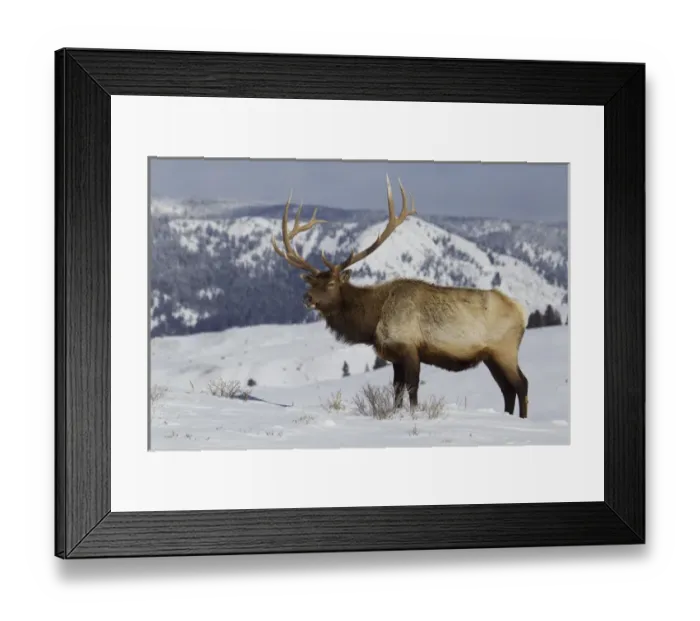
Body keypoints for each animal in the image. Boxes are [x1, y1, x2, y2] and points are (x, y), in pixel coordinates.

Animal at [270, 176, 530, 419]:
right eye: (312, 282)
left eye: (331, 283)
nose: (307, 298)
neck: (372, 322)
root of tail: (521, 311)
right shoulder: (394, 356)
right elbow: (396, 390)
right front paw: (395, 413)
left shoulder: (410, 347)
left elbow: (412, 388)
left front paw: (414, 414)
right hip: (491, 356)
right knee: (507, 389)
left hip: (504, 349)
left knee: (521, 384)